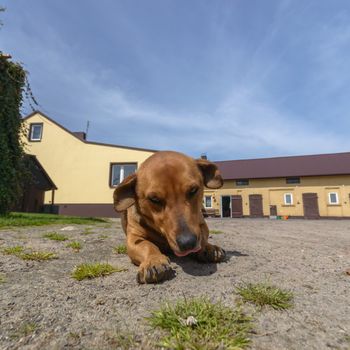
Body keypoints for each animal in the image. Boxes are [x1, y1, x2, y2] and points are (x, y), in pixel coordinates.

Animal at [113, 152, 226, 284]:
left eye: (193, 190)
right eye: (154, 199)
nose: (188, 243)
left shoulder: (201, 224)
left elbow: (203, 237)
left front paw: (208, 247)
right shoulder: (134, 238)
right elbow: (147, 245)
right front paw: (154, 260)